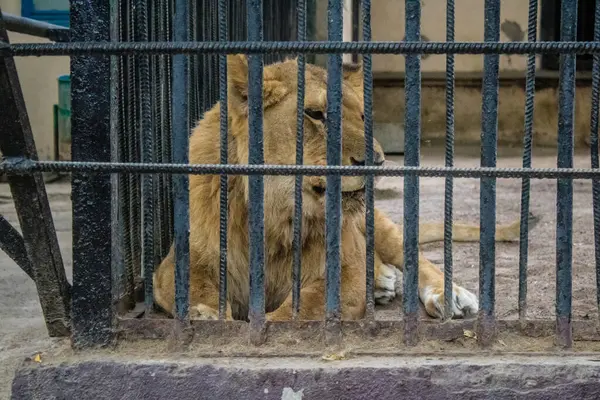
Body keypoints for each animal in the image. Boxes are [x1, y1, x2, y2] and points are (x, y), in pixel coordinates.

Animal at [152, 54, 528, 322]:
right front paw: (210, 316)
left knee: (415, 258)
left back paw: (446, 294)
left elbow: (298, 311)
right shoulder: (179, 264)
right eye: (316, 114)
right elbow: (197, 294)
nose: (377, 161)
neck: (275, 220)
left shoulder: (345, 271)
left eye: (362, 117)